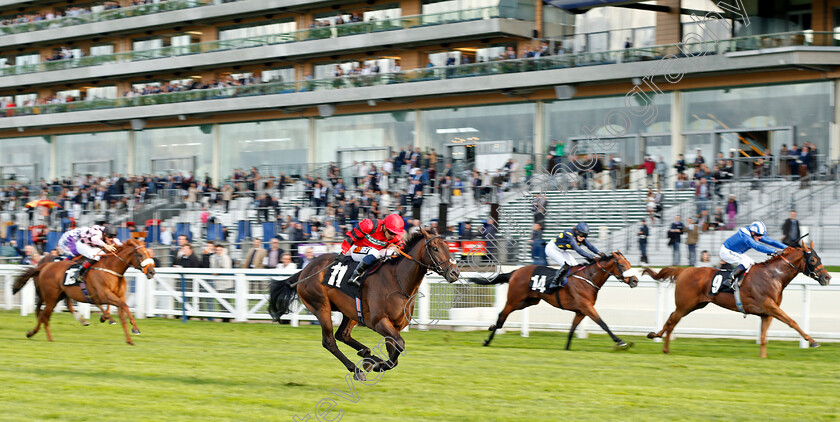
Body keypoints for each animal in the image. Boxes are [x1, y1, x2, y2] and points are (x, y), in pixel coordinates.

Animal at [12, 239, 158, 344]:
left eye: (148, 253)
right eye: (140, 254)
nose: (152, 272)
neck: (111, 269)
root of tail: (44, 265)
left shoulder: (117, 297)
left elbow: (122, 314)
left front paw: (129, 339)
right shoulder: (104, 295)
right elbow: (124, 306)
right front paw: (134, 328)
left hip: (58, 296)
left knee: (45, 314)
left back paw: (38, 334)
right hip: (51, 297)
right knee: (44, 315)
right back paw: (43, 336)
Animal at [270, 229, 460, 380]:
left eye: (448, 247)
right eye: (435, 248)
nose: (454, 272)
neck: (397, 280)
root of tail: (305, 270)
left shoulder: (396, 326)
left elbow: (395, 353)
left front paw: (375, 362)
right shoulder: (379, 322)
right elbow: (399, 346)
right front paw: (377, 365)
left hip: (351, 311)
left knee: (343, 335)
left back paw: (367, 354)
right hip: (321, 306)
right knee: (329, 341)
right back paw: (357, 369)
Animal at [470, 252, 640, 352]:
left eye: (629, 264)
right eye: (622, 265)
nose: (635, 281)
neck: (588, 278)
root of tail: (515, 272)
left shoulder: (581, 311)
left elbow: (572, 330)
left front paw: (566, 348)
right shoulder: (587, 307)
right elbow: (603, 323)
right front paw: (621, 342)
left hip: (528, 301)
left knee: (502, 315)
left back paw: (492, 328)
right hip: (514, 299)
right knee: (502, 316)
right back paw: (487, 340)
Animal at [648, 242, 832, 358]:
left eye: (820, 258)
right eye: (813, 259)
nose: (827, 277)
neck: (773, 276)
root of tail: (683, 270)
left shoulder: (767, 313)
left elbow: (763, 338)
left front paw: (763, 358)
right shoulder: (770, 306)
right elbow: (792, 321)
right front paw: (813, 341)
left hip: (696, 305)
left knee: (671, 318)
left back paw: (655, 335)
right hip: (685, 304)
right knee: (672, 320)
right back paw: (663, 346)